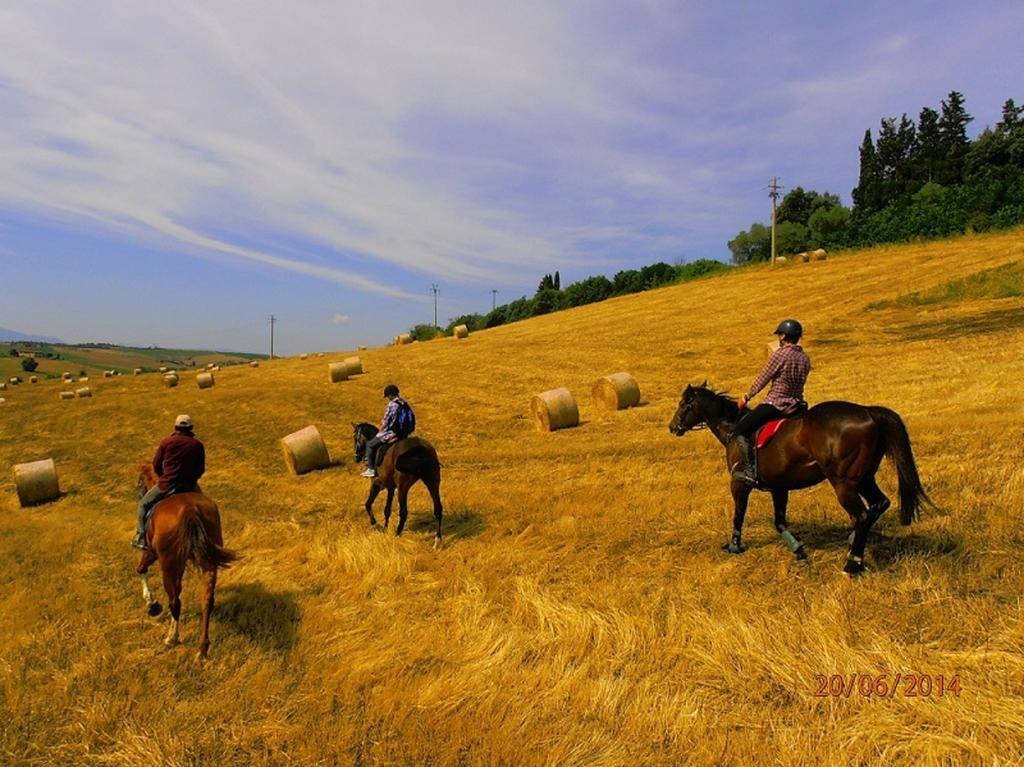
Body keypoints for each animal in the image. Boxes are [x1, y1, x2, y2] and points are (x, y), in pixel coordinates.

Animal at [134, 462, 237, 655]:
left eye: (140, 481)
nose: (139, 493)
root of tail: (190, 509)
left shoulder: (152, 552)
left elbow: (141, 569)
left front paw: (152, 604)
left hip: (168, 565)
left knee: (175, 601)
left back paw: (171, 638)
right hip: (208, 562)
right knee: (207, 600)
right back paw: (202, 649)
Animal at [667, 385, 933, 573]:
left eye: (683, 404)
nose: (672, 427)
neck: (732, 427)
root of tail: (868, 411)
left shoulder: (739, 484)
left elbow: (738, 515)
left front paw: (734, 546)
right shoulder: (779, 487)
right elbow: (780, 522)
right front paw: (798, 549)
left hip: (844, 483)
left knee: (861, 515)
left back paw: (852, 563)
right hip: (864, 478)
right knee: (879, 504)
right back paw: (852, 540)